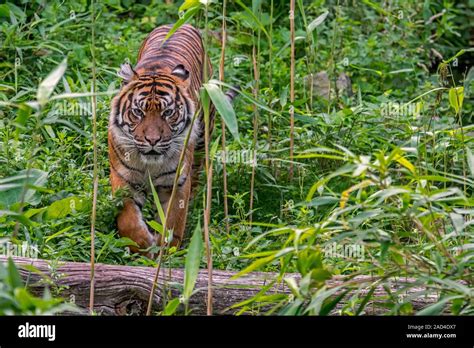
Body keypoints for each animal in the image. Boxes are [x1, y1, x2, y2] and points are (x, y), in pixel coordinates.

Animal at [106, 23, 234, 253]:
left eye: (168, 112)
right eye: (138, 112)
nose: (152, 140)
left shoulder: (176, 181)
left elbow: (173, 221)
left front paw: (165, 250)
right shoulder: (124, 178)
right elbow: (128, 220)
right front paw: (143, 246)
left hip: (204, 132)